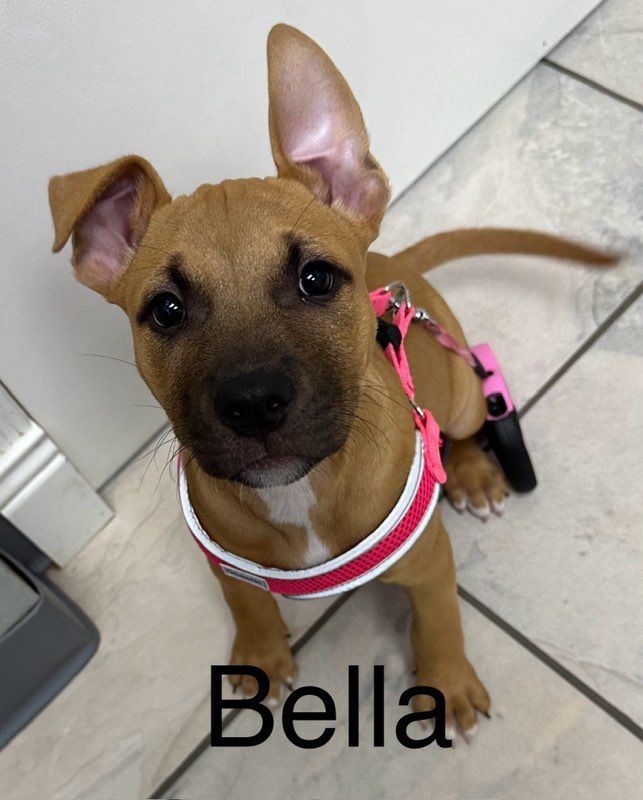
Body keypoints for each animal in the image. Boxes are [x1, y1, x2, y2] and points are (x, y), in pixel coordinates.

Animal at [46, 23, 612, 736]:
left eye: (315, 278)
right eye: (165, 311)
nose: (253, 403)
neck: (302, 492)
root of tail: (399, 270)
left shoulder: (428, 561)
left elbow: (439, 621)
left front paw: (447, 684)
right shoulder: (227, 565)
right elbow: (249, 605)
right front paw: (260, 655)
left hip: (460, 393)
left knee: (468, 420)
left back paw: (472, 471)